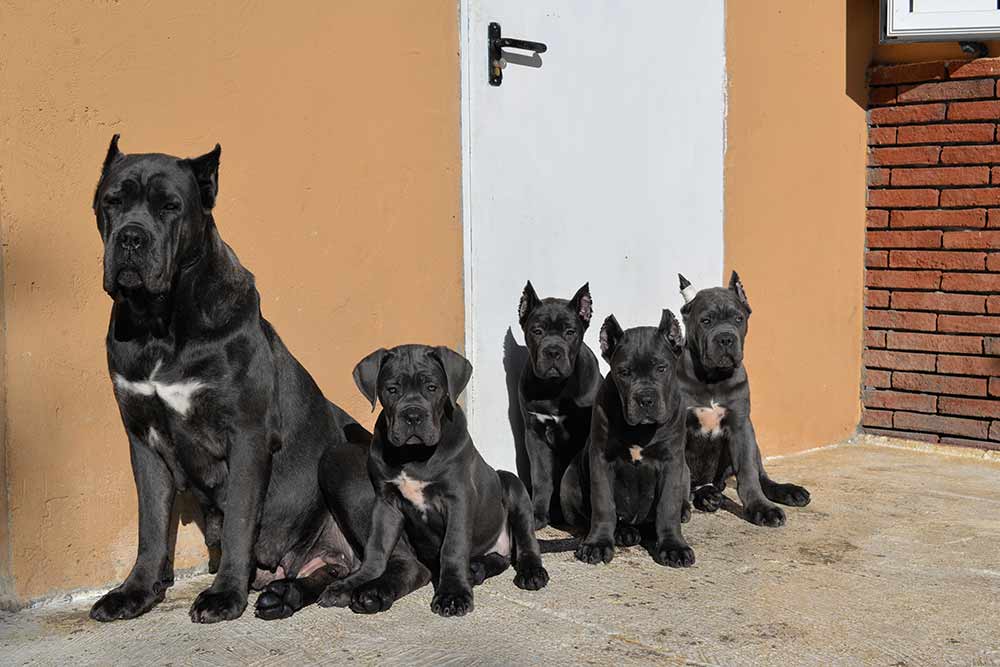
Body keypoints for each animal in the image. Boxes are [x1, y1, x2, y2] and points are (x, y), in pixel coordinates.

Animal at [89, 137, 426, 628]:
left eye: (170, 206)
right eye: (112, 202)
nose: (132, 237)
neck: (161, 323)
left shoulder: (246, 435)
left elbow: (238, 520)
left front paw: (224, 595)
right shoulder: (144, 440)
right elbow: (150, 527)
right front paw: (134, 593)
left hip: (342, 462)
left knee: (403, 561)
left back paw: (368, 592)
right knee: (331, 569)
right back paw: (283, 595)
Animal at [320, 348, 552, 620]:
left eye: (432, 387)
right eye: (392, 389)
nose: (412, 416)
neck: (413, 455)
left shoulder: (457, 500)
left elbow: (453, 547)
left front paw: (453, 594)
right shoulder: (386, 503)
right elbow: (376, 547)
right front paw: (355, 582)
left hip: (511, 483)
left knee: (526, 537)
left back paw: (531, 572)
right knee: (499, 559)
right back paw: (475, 569)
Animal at [516, 280, 600, 528]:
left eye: (570, 332)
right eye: (537, 331)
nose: (553, 351)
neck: (555, 387)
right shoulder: (535, 434)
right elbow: (541, 477)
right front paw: (537, 515)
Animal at [560, 310, 692, 568]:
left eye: (661, 368)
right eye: (624, 373)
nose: (645, 399)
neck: (639, 430)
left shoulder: (672, 461)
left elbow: (668, 505)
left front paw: (674, 546)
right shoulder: (601, 459)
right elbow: (603, 504)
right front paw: (598, 544)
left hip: (686, 470)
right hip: (568, 480)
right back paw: (624, 532)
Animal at [676, 272, 808, 528]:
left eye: (738, 319)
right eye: (706, 321)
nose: (726, 338)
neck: (713, 378)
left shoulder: (740, 426)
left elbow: (748, 473)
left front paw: (761, 508)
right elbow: (681, 472)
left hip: (753, 438)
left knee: (762, 476)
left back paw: (788, 491)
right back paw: (706, 497)